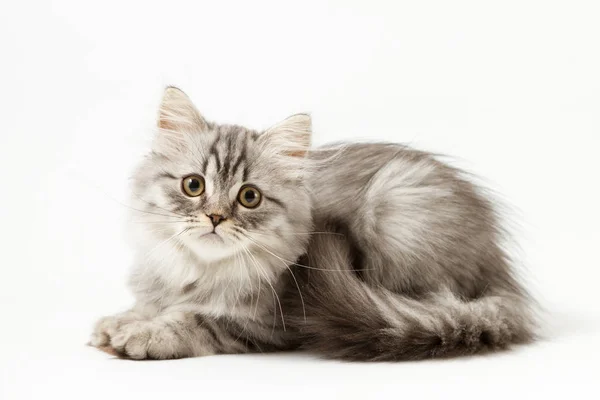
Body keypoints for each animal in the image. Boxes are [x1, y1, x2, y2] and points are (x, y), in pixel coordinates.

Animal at [89, 88, 536, 362]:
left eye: (249, 197)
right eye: (193, 185)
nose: (215, 217)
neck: (198, 273)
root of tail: (500, 271)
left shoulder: (272, 323)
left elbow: (197, 320)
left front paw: (146, 335)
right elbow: (146, 306)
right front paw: (122, 321)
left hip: (396, 208)